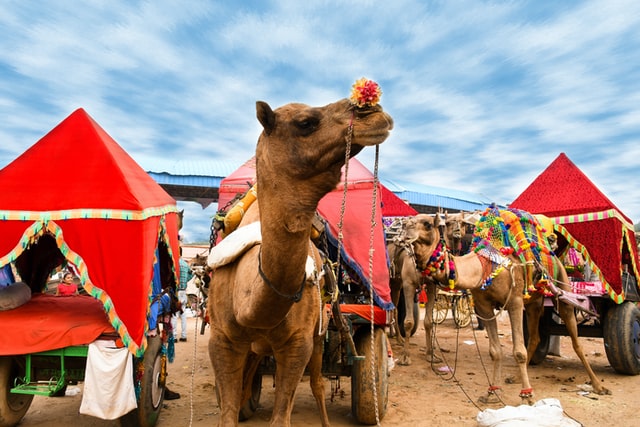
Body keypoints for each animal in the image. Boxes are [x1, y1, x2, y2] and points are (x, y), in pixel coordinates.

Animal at [208, 81, 392, 427]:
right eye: (305, 122)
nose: (373, 111)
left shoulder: (298, 345)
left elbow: (282, 416)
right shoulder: (222, 340)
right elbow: (227, 413)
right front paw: (239, 405)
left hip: (320, 333)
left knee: (319, 382)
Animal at [404, 211, 608, 404]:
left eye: (427, 224)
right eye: (446, 223)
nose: (405, 230)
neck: (484, 266)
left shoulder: (514, 302)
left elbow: (518, 351)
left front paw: (527, 397)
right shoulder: (484, 307)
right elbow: (495, 351)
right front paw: (492, 392)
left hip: (562, 288)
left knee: (576, 341)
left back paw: (598, 385)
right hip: (534, 302)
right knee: (535, 336)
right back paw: (516, 377)